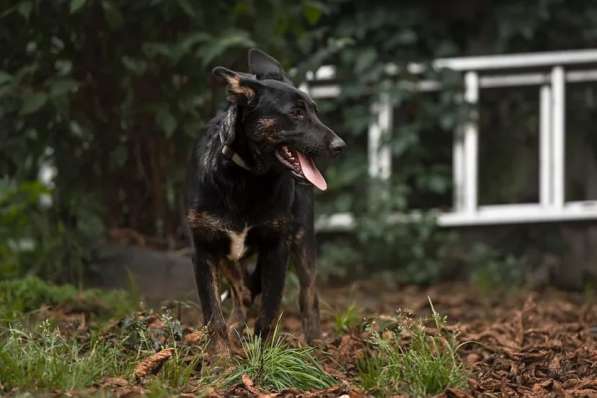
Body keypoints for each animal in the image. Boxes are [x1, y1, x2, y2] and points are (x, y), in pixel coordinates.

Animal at [186, 49, 344, 352]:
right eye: (296, 113)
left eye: (315, 111)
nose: (340, 146)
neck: (247, 178)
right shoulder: (204, 249)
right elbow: (214, 316)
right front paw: (220, 358)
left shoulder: (276, 249)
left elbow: (268, 313)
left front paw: (262, 355)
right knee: (243, 291)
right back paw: (236, 325)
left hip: (302, 238)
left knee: (308, 294)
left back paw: (314, 343)